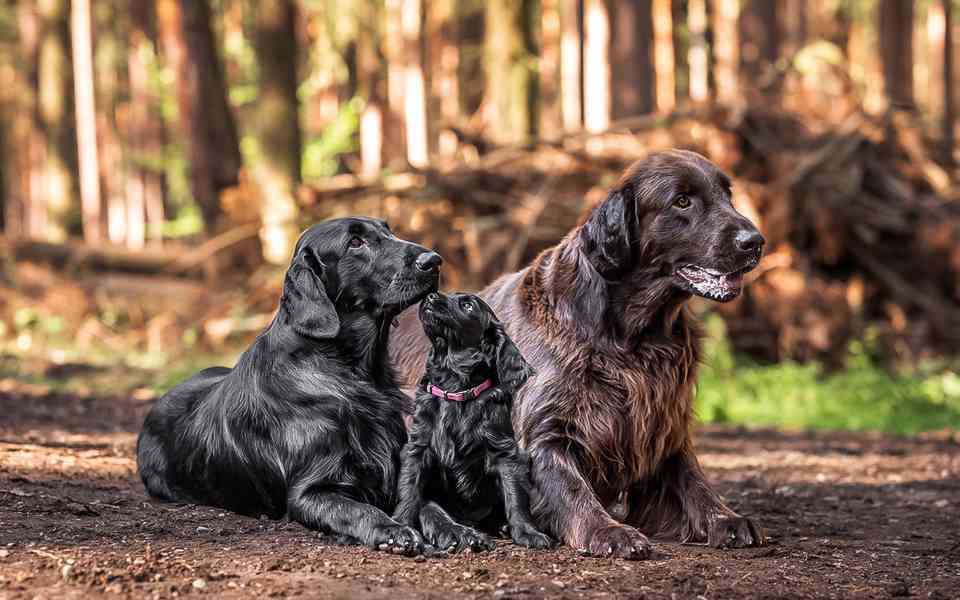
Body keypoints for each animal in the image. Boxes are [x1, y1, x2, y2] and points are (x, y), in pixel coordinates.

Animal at [136, 218, 442, 556]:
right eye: (355, 242)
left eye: (388, 230)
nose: (434, 260)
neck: (349, 370)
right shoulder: (309, 492)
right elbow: (360, 510)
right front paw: (393, 530)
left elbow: (427, 502)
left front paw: (454, 529)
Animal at [392, 292, 556, 552]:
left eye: (468, 305)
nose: (430, 295)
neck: (456, 391)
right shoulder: (417, 448)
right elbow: (409, 489)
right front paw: (400, 524)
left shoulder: (506, 453)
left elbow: (515, 495)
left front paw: (527, 532)